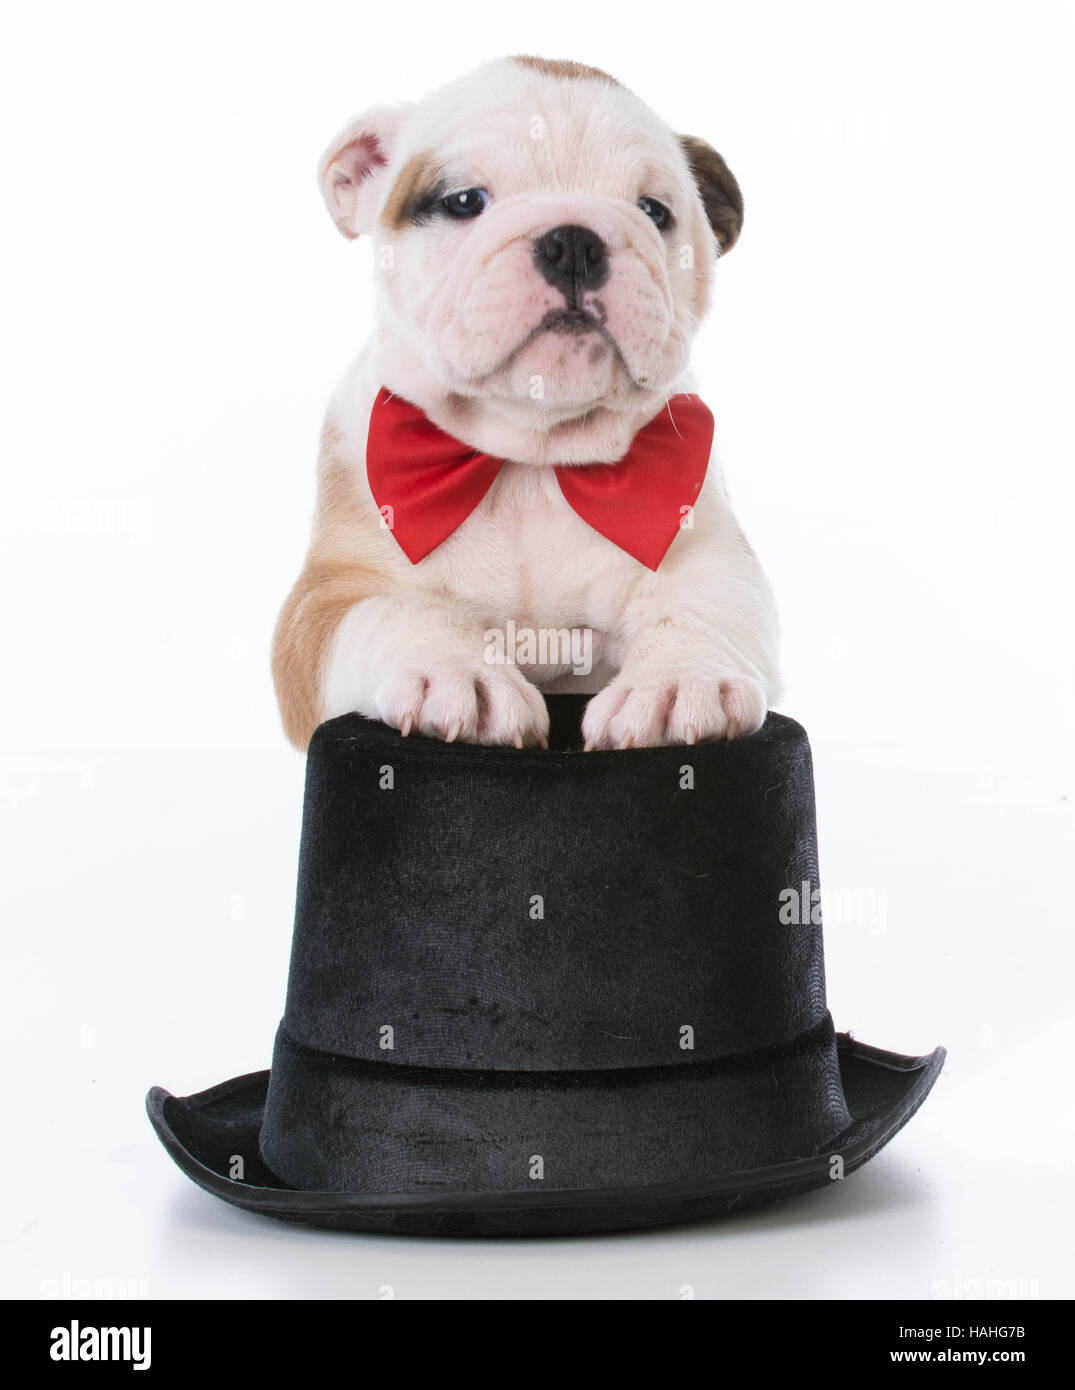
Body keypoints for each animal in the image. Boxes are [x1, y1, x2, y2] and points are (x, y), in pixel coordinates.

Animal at [272, 56, 778, 750]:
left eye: (653, 210)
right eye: (463, 201)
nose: (574, 241)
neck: (531, 456)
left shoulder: (713, 556)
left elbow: (703, 608)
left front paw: (682, 680)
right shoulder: (325, 600)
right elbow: (393, 610)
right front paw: (453, 670)